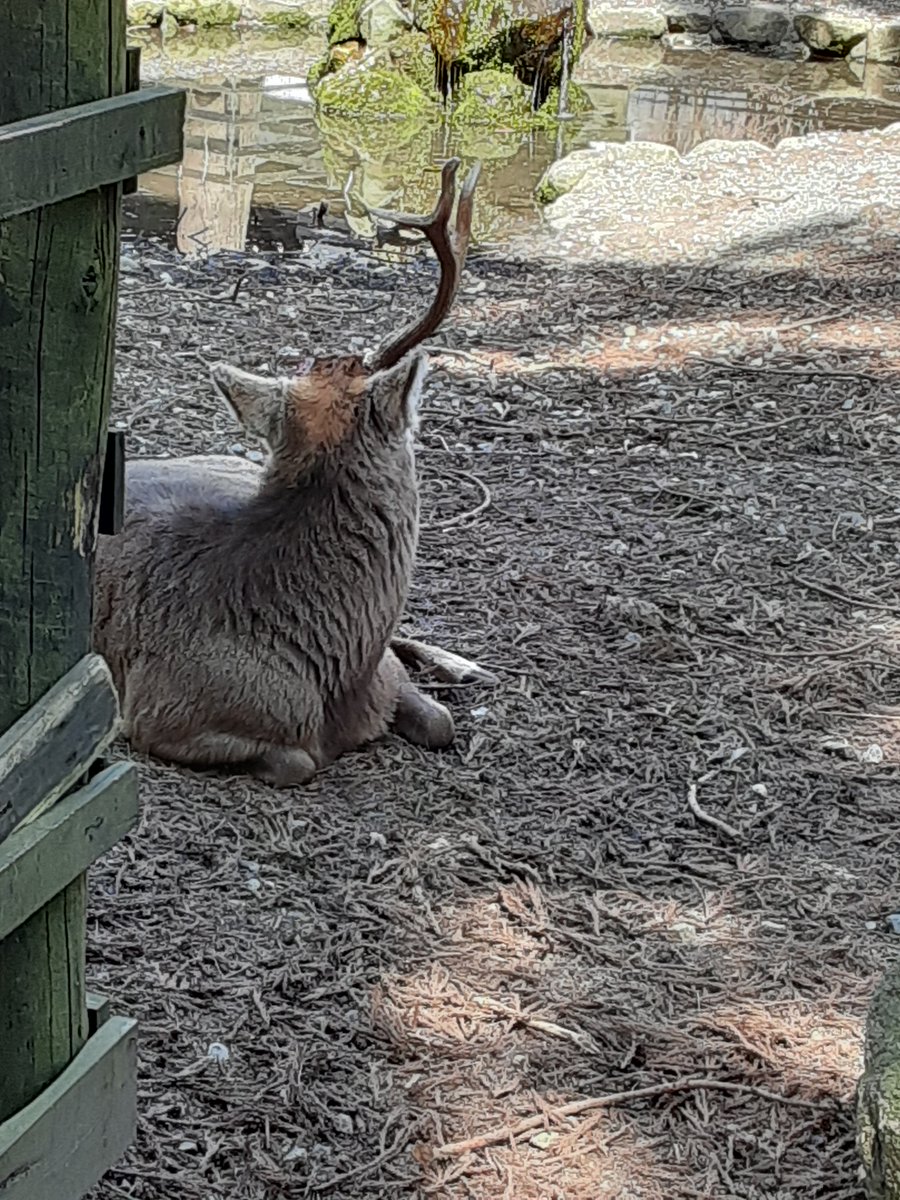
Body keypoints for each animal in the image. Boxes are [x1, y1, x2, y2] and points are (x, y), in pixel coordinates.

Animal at [93, 159, 494, 788]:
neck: (338, 676)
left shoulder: (385, 677)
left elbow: (440, 722)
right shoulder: (158, 712)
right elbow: (298, 761)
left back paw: (466, 665)